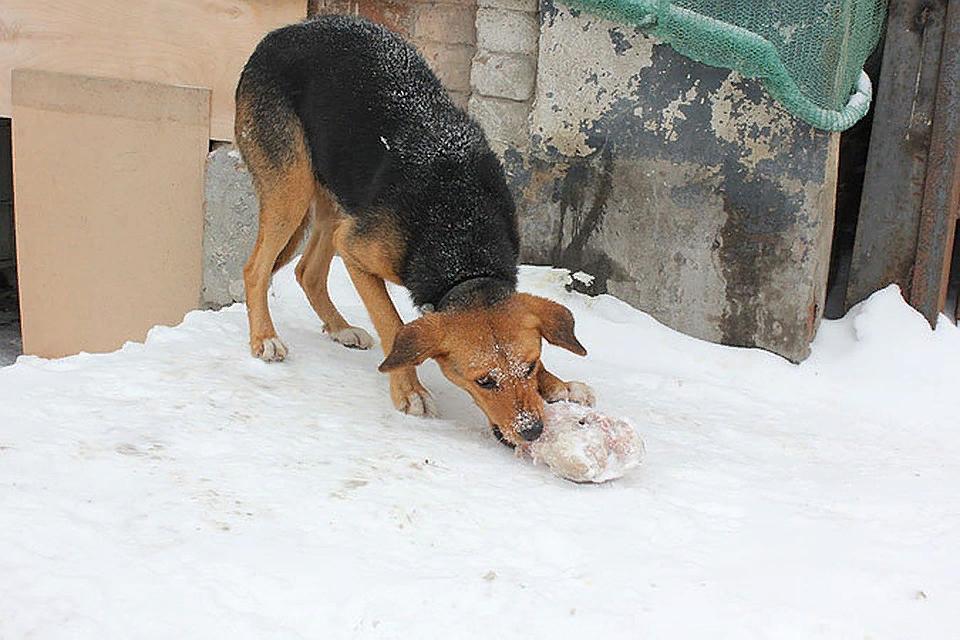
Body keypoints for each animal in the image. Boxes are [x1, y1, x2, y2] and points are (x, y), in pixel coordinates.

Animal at [234, 16, 592, 444]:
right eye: (484, 381)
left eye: (531, 366)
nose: (533, 431)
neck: (461, 235)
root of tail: (286, 30)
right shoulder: (356, 251)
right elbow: (393, 324)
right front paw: (409, 391)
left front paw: (557, 384)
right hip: (292, 186)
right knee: (256, 268)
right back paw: (265, 338)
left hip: (339, 196)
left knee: (308, 271)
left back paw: (340, 329)